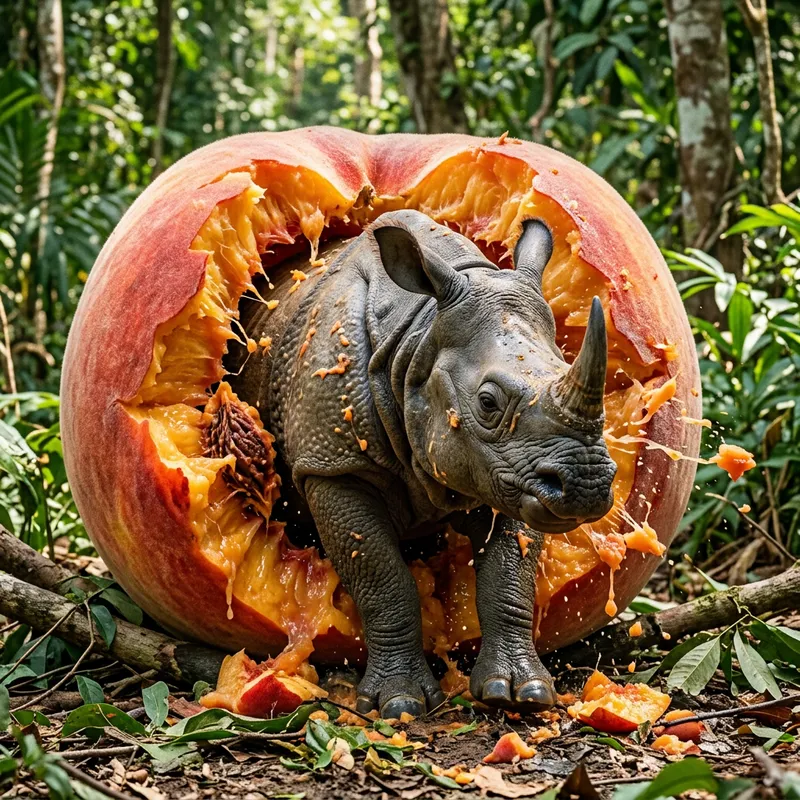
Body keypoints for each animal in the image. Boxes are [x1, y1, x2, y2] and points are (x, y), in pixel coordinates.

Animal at [230, 209, 617, 718]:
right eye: (488, 403)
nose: (585, 485)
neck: (418, 333)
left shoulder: (514, 473)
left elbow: (510, 574)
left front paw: (521, 693)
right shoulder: (333, 463)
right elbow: (381, 576)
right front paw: (400, 703)